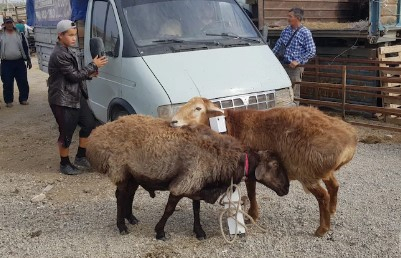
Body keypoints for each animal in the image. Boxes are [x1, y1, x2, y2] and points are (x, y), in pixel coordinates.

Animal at [169, 98, 356, 237]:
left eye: (198, 108)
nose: (173, 121)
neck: (227, 124)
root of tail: (349, 139)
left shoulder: (248, 168)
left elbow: (251, 192)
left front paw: (252, 215)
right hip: (321, 170)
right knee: (334, 186)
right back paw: (332, 210)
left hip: (307, 171)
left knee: (323, 196)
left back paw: (322, 229)